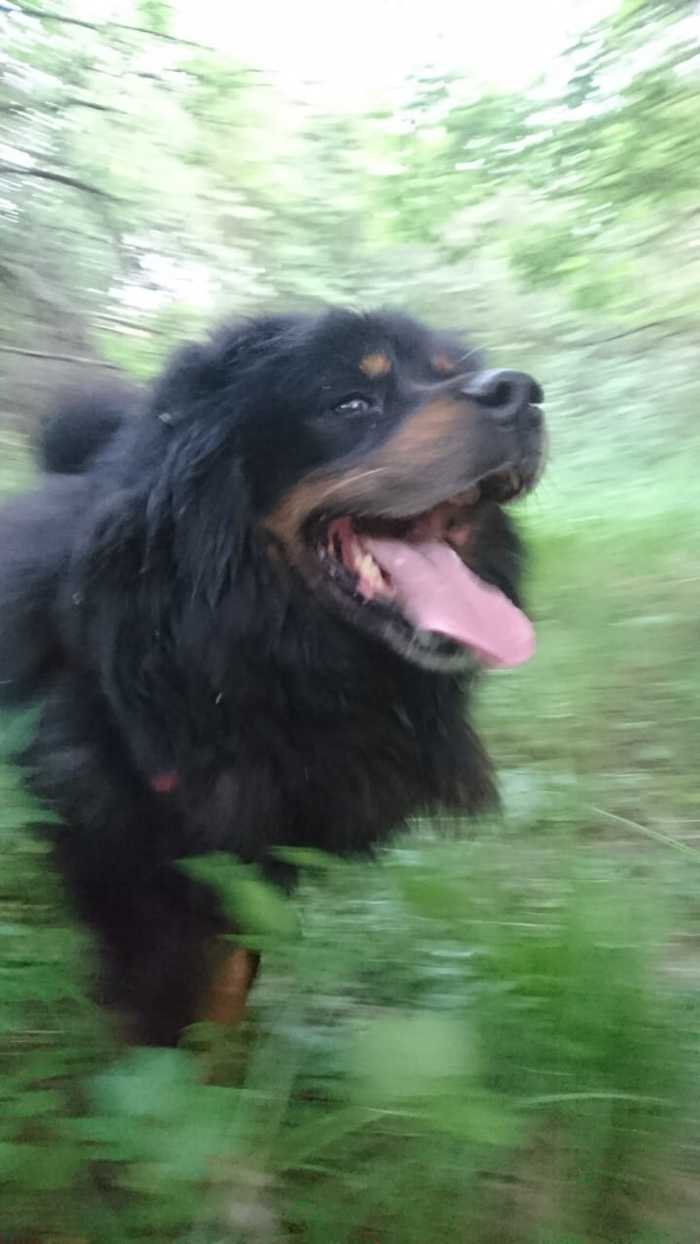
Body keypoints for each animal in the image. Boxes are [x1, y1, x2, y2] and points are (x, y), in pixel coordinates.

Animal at [0, 308, 545, 1045]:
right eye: (350, 403)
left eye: (450, 371)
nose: (522, 393)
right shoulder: (126, 868)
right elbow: (158, 1013)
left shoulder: (260, 849)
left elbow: (231, 980)